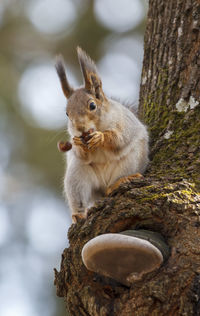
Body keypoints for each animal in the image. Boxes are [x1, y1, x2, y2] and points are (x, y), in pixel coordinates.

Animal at [55, 48, 149, 223]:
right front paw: (78, 143)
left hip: (130, 161)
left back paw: (119, 182)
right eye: (67, 114)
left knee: (113, 184)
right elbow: (81, 154)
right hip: (77, 176)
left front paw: (101, 137)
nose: (80, 128)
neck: (98, 125)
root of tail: (103, 185)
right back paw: (78, 214)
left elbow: (120, 139)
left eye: (92, 105)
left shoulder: (125, 123)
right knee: (80, 196)